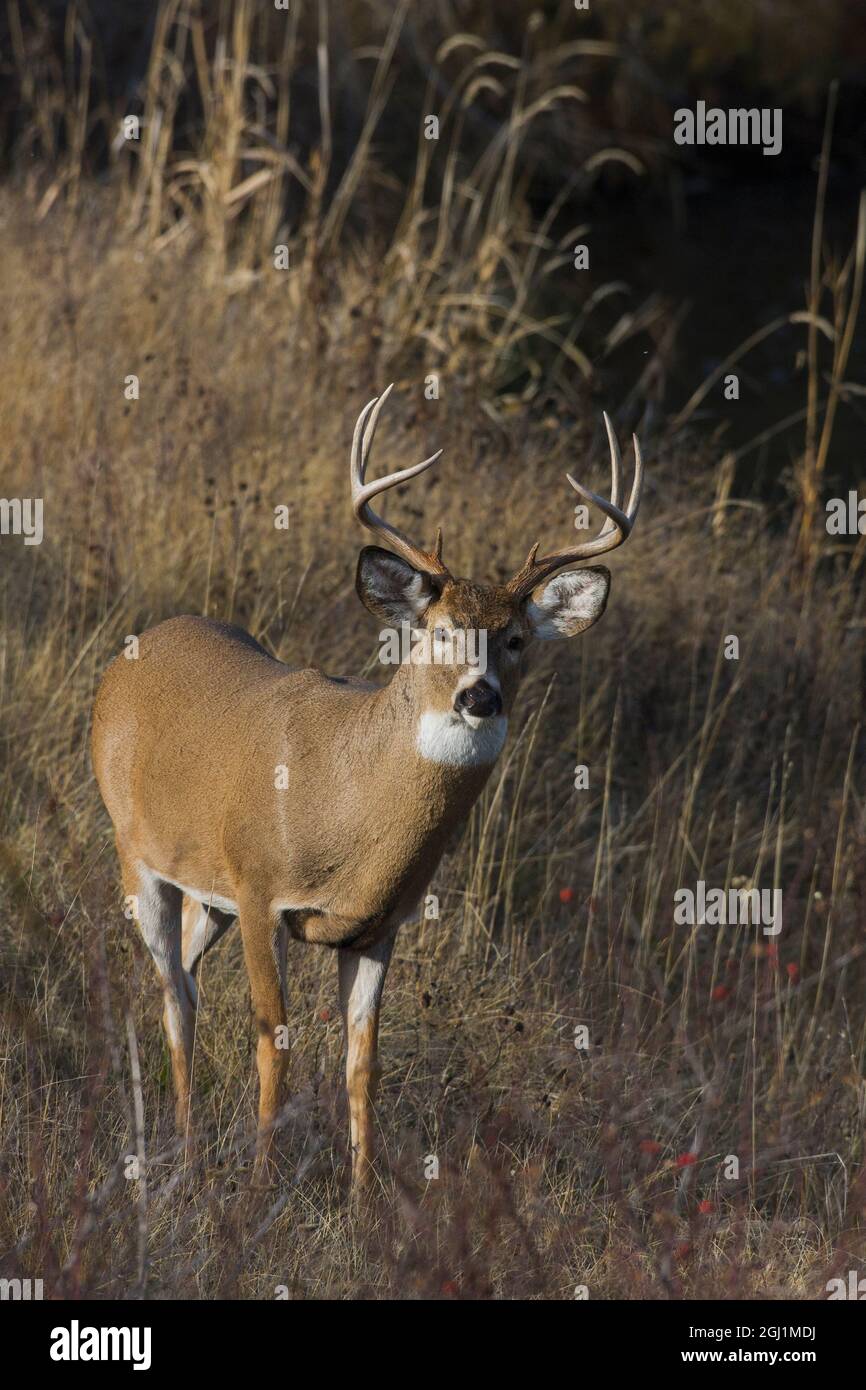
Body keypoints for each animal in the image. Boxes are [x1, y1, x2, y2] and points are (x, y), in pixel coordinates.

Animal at [91, 385, 643, 1192]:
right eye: (439, 629)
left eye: (515, 639)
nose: (480, 696)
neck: (346, 815)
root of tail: (138, 647)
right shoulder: (260, 889)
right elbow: (275, 1041)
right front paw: (262, 1185)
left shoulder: (378, 925)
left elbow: (364, 1063)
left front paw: (363, 1195)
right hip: (137, 854)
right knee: (170, 992)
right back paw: (187, 1154)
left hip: (205, 892)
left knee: (186, 980)